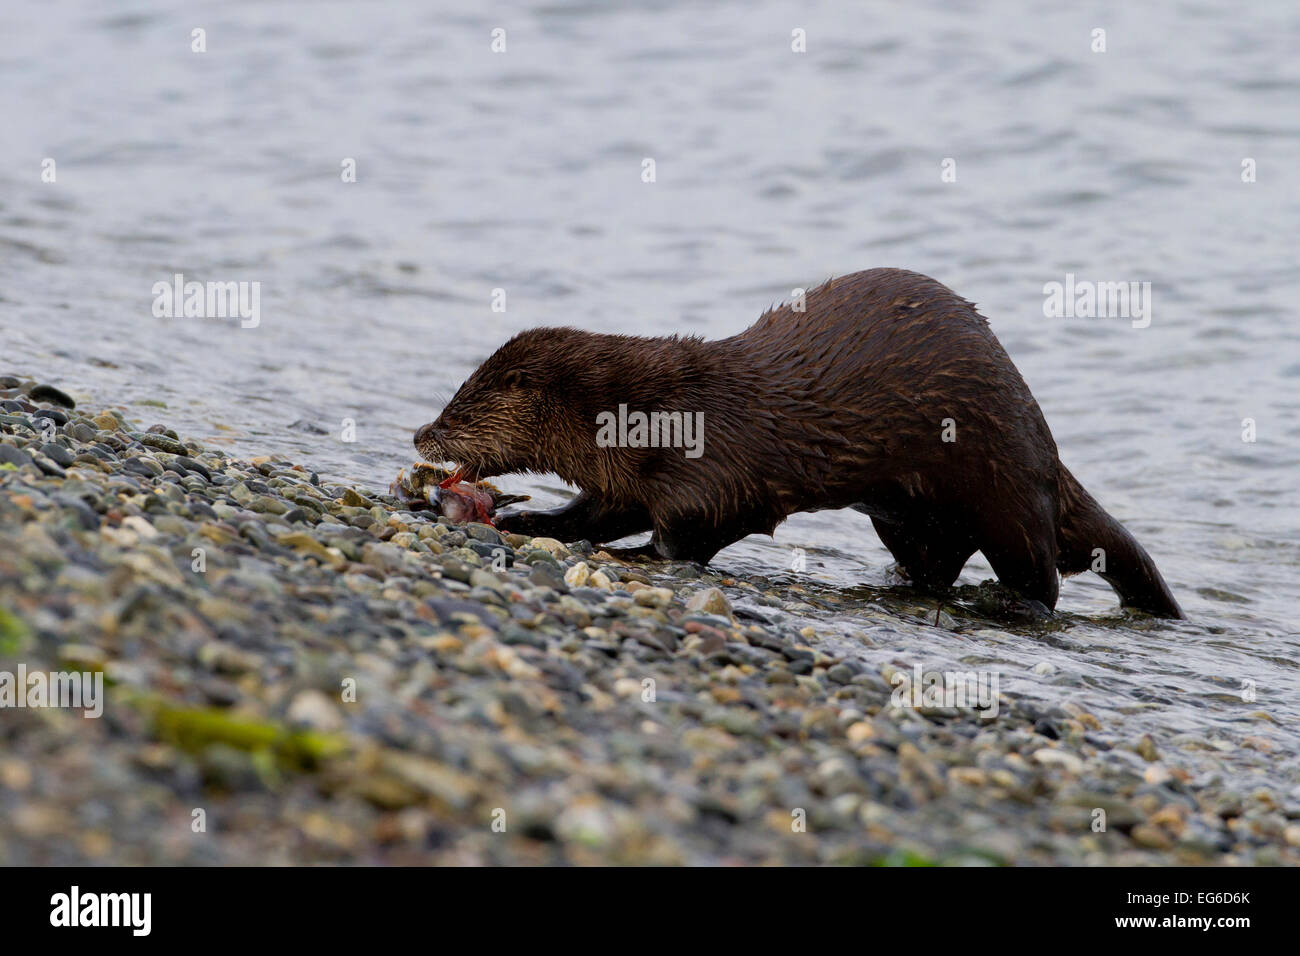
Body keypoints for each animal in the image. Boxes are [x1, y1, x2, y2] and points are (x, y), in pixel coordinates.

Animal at [416, 267, 1190, 621]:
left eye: (462, 403)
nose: (422, 432)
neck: (652, 414)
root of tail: (1048, 449)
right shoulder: (630, 478)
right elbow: (598, 511)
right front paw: (528, 519)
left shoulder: (712, 477)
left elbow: (689, 529)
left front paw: (638, 557)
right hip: (909, 515)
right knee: (938, 562)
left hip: (1004, 481)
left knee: (1041, 573)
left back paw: (1007, 600)